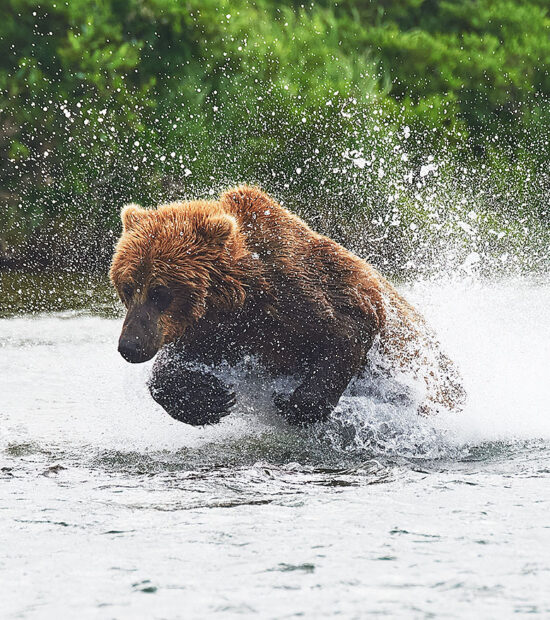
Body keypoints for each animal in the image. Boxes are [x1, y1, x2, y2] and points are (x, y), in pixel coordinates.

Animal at [109, 185, 466, 426]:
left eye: (160, 292)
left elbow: (347, 329)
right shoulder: (218, 331)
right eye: (127, 287)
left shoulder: (302, 290)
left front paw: (291, 403)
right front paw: (212, 398)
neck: (244, 293)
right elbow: (173, 367)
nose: (130, 346)